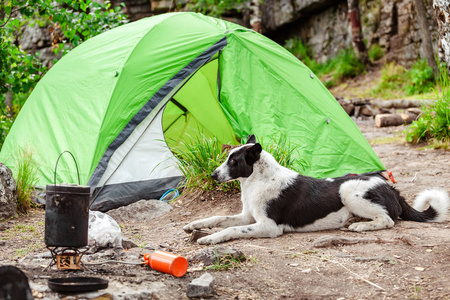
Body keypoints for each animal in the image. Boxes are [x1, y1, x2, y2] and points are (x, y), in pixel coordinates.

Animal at [182, 135, 446, 244]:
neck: (258, 180)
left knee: (388, 220)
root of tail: (392, 188)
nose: (212, 175)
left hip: (348, 190)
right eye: (227, 158)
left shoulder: (269, 226)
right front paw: (194, 225)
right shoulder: (248, 216)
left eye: (233, 162)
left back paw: (361, 226)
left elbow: (232, 229)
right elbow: (218, 218)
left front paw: (210, 238)